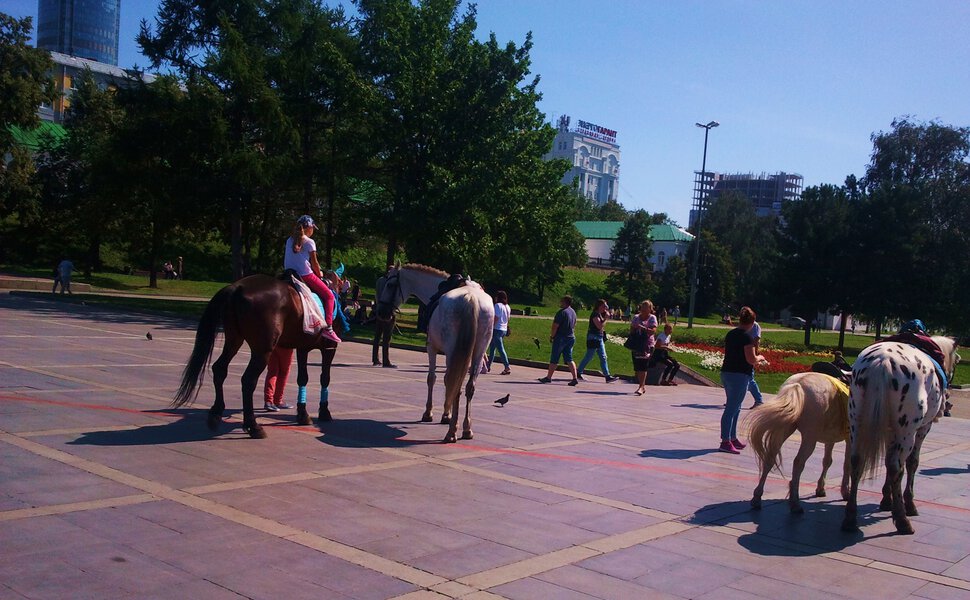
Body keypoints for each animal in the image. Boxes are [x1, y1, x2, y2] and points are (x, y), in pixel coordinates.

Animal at [172, 274, 338, 438]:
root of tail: (236, 288)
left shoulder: (302, 348)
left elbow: (303, 378)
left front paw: (303, 415)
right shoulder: (329, 348)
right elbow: (325, 378)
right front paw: (324, 412)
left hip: (234, 340)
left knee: (219, 369)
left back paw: (216, 414)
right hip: (262, 351)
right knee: (248, 380)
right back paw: (253, 426)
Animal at [744, 372, 852, 512]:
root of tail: (798, 384)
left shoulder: (831, 438)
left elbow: (827, 461)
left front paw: (820, 488)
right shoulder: (850, 438)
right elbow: (847, 464)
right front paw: (845, 491)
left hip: (785, 427)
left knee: (770, 458)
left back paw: (757, 497)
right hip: (810, 437)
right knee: (798, 462)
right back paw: (795, 502)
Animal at [840, 336, 960, 536]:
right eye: (957, 360)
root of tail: (882, 362)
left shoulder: (890, 431)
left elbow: (887, 461)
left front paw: (886, 499)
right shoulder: (923, 428)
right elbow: (912, 463)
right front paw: (908, 503)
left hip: (856, 422)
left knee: (857, 460)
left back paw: (850, 517)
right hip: (907, 430)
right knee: (896, 466)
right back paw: (903, 519)